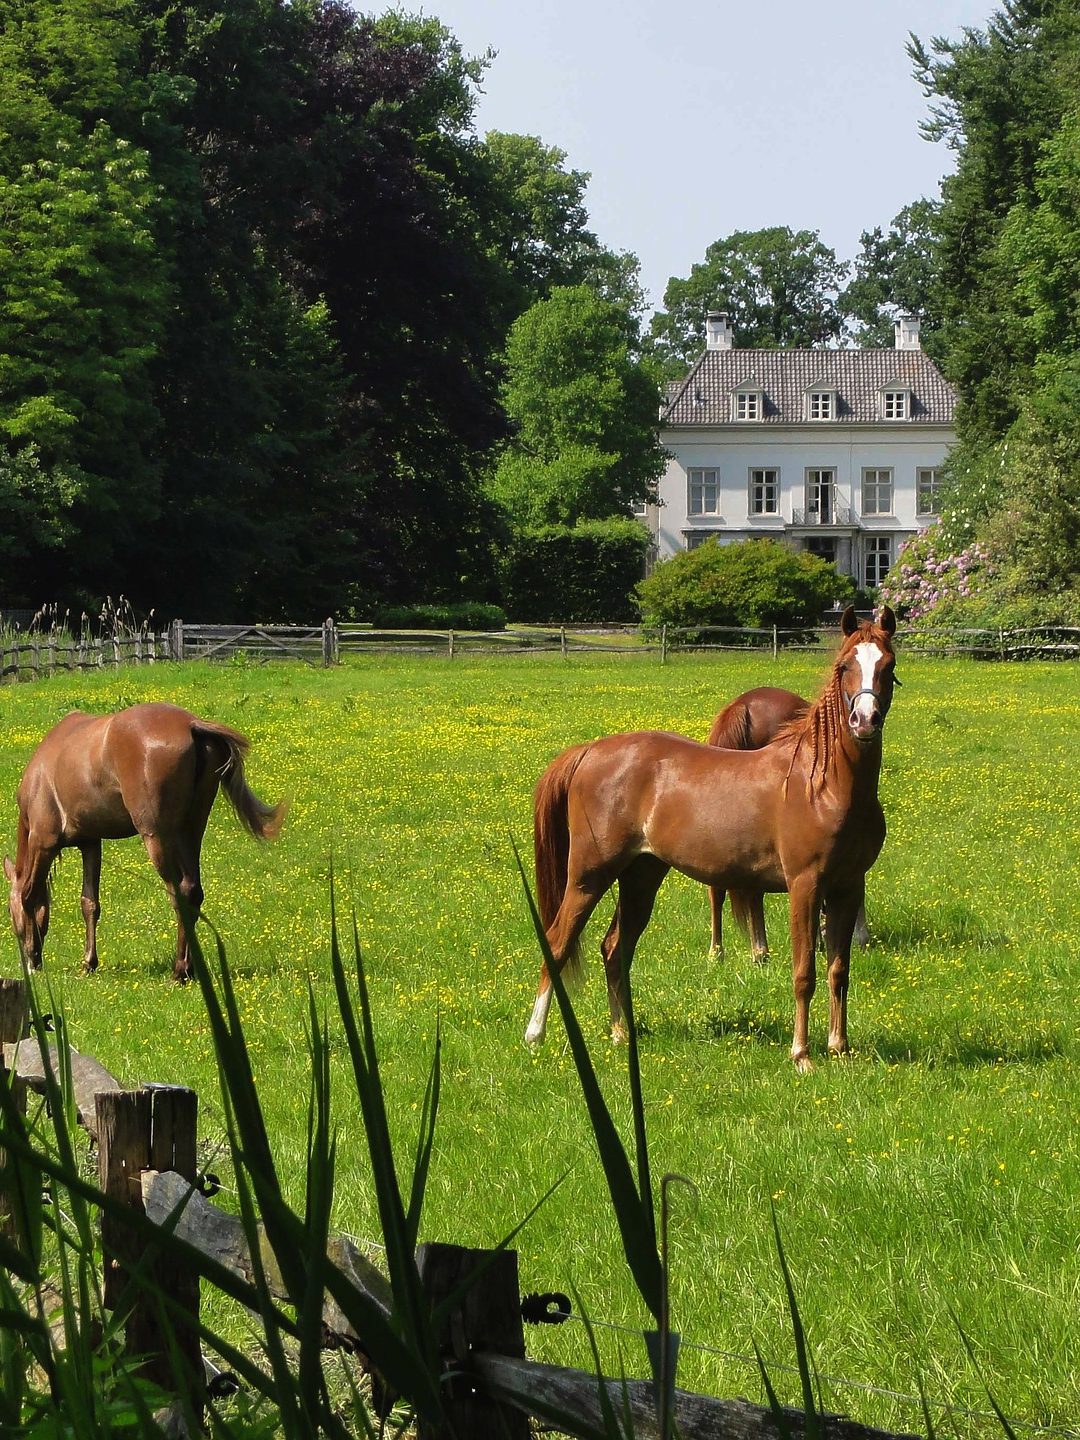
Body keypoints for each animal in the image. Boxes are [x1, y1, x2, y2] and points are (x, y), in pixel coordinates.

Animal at [5, 705, 283, 984]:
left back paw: (179, 971)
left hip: (158, 836)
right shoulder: (91, 843)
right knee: (194, 892)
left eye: (8, 910)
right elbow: (89, 903)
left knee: (181, 892)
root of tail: (190, 724)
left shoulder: (43, 843)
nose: (27, 962)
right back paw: (191, 969)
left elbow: (29, 896)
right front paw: (88, 964)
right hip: (191, 830)